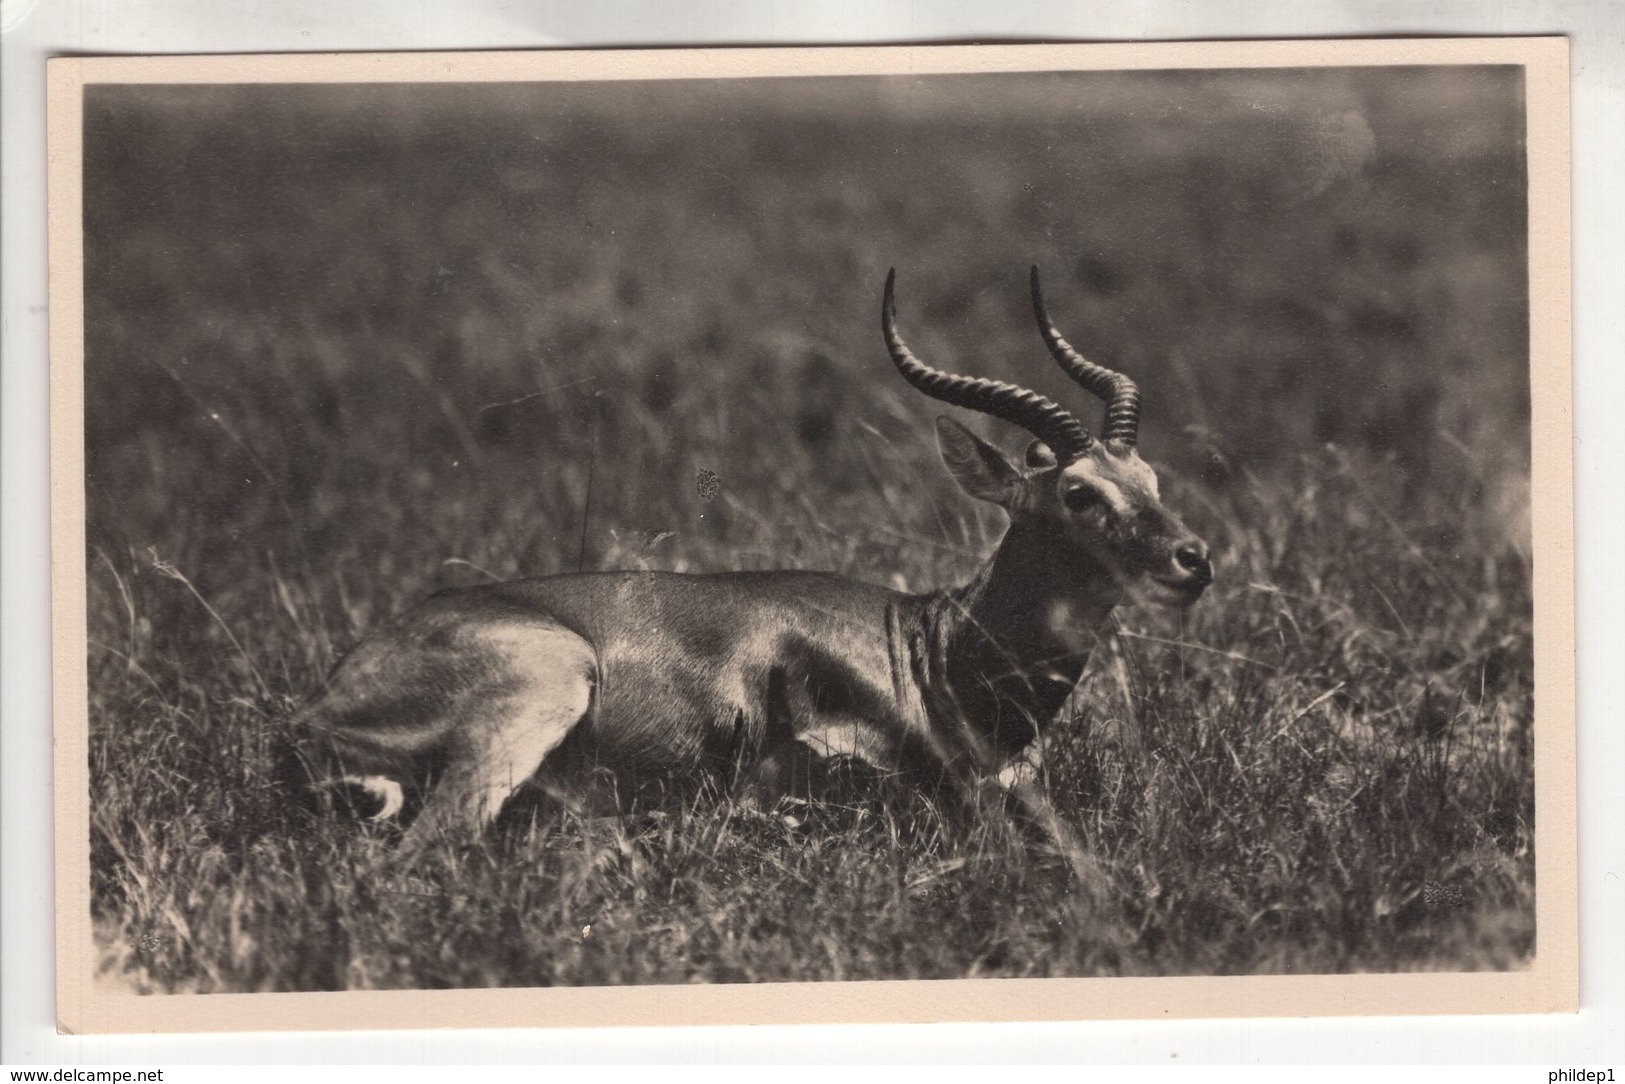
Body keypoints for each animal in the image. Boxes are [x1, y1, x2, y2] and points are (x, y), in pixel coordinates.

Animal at [286, 271, 1215, 871]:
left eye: (1151, 479)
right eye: (1076, 492)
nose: (1192, 559)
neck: (935, 652)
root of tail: (318, 708)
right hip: (538, 698)